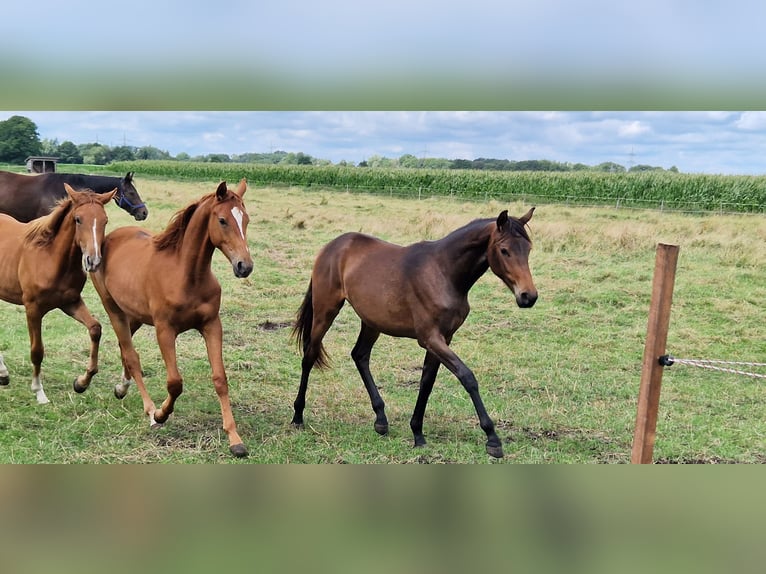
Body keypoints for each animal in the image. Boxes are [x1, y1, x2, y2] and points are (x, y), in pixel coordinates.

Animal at [0, 184, 115, 404]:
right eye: (78, 219)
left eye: (105, 220)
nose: (93, 261)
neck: (51, 258)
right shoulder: (33, 309)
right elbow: (37, 350)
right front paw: (39, 391)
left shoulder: (71, 302)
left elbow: (95, 329)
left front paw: (81, 383)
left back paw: (3, 374)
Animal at [87, 180, 255, 460]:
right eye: (222, 220)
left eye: (247, 220)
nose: (245, 266)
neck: (187, 276)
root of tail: (110, 237)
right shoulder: (165, 330)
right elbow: (175, 383)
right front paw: (160, 414)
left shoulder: (212, 325)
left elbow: (220, 379)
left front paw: (235, 439)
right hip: (113, 309)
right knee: (130, 354)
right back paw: (146, 409)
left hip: (135, 314)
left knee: (125, 348)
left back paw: (120, 387)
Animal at [294, 209, 540, 462]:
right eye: (505, 250)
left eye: (528, 249)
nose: (528, 296)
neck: (443, 272)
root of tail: (332, 246)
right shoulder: (430, 338)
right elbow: (467, 377)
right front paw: (492, 439)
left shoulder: (443, 339)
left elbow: (427, 382)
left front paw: (417, 433)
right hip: (325, 311)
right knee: (309, 356)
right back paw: (298, 416)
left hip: (371, 322)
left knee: (360, 356)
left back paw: (381, 420)